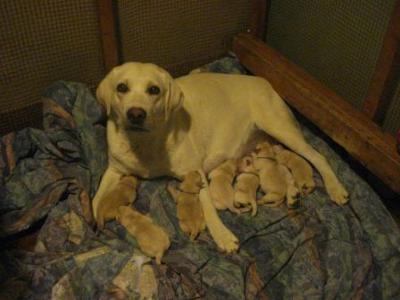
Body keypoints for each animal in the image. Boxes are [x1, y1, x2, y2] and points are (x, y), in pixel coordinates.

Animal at [92, 62, 348, 253]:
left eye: (154, 90)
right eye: (122, 87)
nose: (136, 114)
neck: (144, 143)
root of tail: (261, 80)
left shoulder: (195, 172)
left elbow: (207, 207)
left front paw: (223, 236)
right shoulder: (114, 170)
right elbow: (97, 197)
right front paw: (94, 217)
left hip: (279, 128)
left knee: (319, 156)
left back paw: (336, 189)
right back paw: (294, 193)